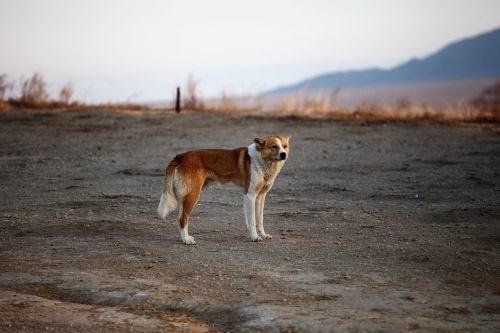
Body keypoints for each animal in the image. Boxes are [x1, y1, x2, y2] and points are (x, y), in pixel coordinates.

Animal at [156, 135, 290, 244]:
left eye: (284, 146)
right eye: (274, 147)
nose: (284, 154)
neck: (261, 160)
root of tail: (180, 156)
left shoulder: (260, 197)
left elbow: (259, 219)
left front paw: (263, 234)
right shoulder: (250, 195)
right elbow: (252, 220)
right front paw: (254, 237)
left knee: (180, 218)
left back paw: (184, 238)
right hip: (192, 195)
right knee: (182, 218)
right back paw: (187, 240)